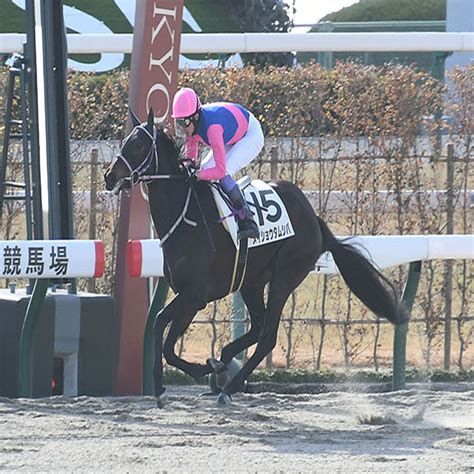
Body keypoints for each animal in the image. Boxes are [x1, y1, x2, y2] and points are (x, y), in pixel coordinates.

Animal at [105, 108, 410, 408]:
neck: (186, 215)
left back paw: (229, 388)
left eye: (139, 144)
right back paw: (224, 359)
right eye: (126, 141)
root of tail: (314, 219)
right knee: (259, 325)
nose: (110, 176)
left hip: (285, 277)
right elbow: (167, 342)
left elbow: (159, 326)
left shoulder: (195, 294)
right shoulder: (190, 297)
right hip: (251, 282)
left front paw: (170, 383)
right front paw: (197, 371)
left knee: (267, 337)